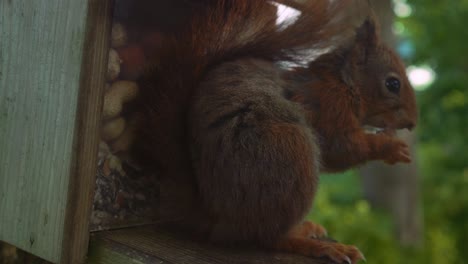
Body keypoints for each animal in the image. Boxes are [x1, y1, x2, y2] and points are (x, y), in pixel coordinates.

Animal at [132, 1, 416, 262]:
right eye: (393, 84)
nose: (413, 123)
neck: (343, 83)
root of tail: (214, 213)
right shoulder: (328, 107)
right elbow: (341, 148)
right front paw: (390, 147)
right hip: (290, 151)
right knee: (270, 238)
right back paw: (316, 244)